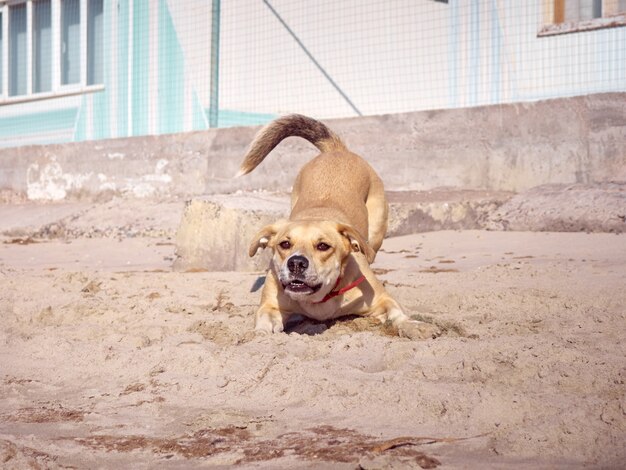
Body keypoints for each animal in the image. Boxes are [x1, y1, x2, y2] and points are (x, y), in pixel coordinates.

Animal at [239, 115, 438, 340]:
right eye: (285, 244)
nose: (296, 263)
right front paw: (259, 334)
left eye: (323, 246)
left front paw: (414, 325)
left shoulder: (381, 299)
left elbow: (397, 313)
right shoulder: (271, 306)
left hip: (376, 233)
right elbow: (264, 322)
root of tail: (337, 151)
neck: (319, 299)